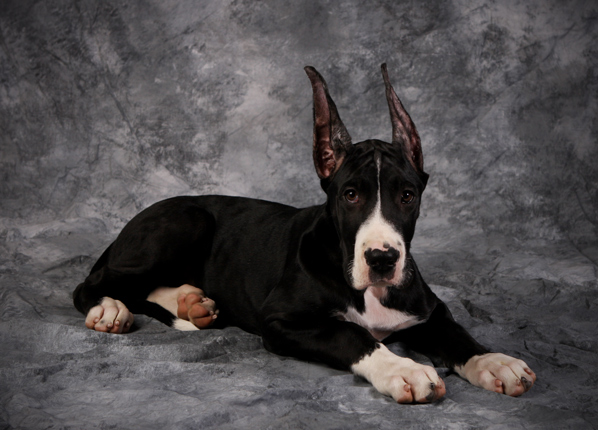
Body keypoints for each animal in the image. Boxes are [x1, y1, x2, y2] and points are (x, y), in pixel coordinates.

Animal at [72, 63, 536, 404]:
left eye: (407, 196)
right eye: (350, 194)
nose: (383, 259)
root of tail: (131, 223)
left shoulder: (429, 312)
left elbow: (457, 334)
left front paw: (494, 361)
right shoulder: (283, 322)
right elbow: (353, 334)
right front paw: (402, 369)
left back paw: (192, 302)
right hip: (187, 222)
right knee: (93, 284)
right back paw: (110, 309)